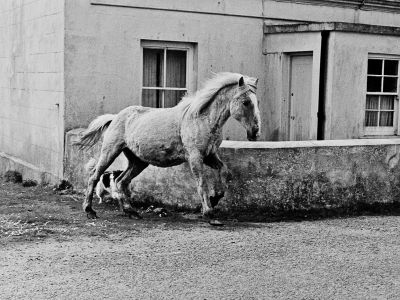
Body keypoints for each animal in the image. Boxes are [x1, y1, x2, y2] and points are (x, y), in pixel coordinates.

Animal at [75, 72, 260, 219]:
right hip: (110, 151)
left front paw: (215, 199)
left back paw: (131, 212)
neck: (202, 119)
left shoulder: (209, 155)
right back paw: (90, 211)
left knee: (121, 181)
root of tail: (115, 117)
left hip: (138, 161)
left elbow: (225, 171)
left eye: (257, 101)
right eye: (246, 102)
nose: (255, 132)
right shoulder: (195, 157)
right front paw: (209, 213)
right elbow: (202, 183)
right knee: (94, 176)